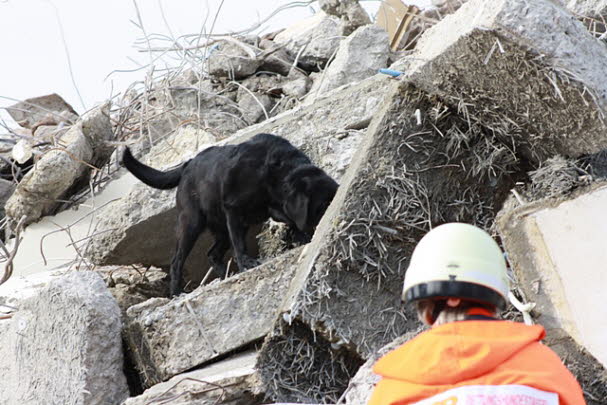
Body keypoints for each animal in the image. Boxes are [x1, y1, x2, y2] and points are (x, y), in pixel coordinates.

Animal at [121, 133, 340, 294]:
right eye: (322, 205)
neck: (272, 172)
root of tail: (187, 165)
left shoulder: (275, 208)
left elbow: (292, 221)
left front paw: (300, 237)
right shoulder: (233, 210)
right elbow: (240, 245)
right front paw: (246, 263)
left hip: (221, 228)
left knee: (212, 254)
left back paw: (225, 275)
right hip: (191, 223)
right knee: (177, 261)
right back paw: (176, 292)